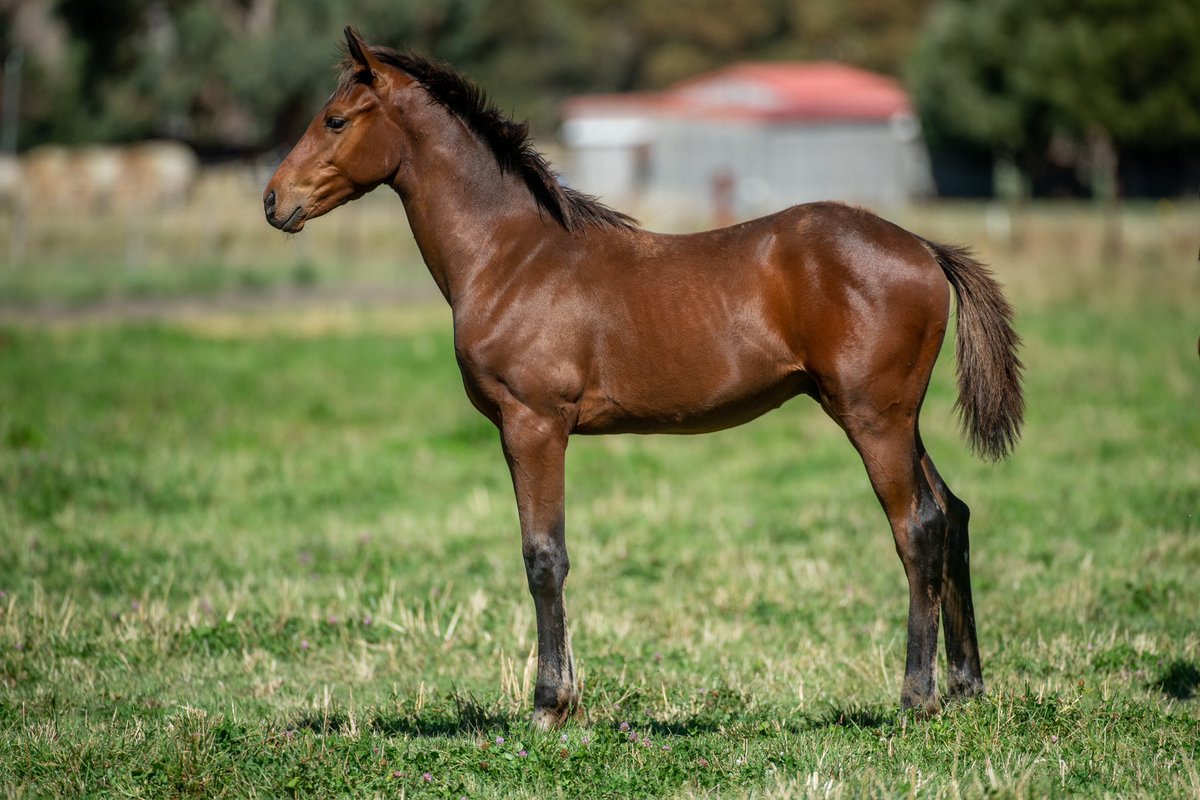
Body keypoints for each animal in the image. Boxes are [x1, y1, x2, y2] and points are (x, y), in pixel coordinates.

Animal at [264, 27, 1024, 729]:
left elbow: (544, 556)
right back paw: (966, 686)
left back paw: (916, 697)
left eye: (336, 119)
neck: (511, 254)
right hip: (894, 418)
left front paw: (549, 706)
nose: (273, 201)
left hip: (873, 419)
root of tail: (923, 247)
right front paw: (567, 696)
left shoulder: (534, 425)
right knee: (952, 512)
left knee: (917, 527)